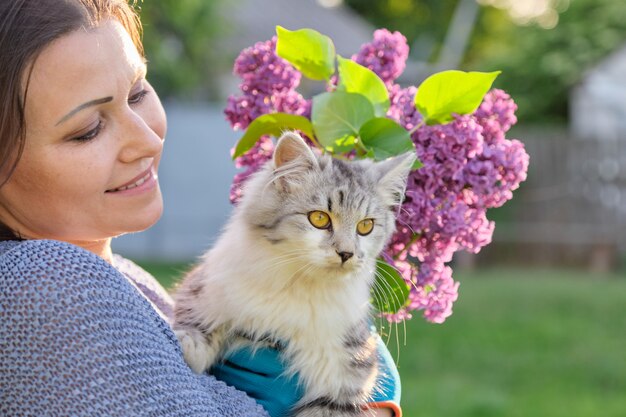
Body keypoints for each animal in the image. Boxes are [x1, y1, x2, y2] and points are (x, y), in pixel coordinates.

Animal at [172, 132, 414, 414]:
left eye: (365, 226)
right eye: (319, 219)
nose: (346, 253)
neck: (301, 285)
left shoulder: (345, 375)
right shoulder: (206, 287)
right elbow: (198, 323)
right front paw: (185, 343)